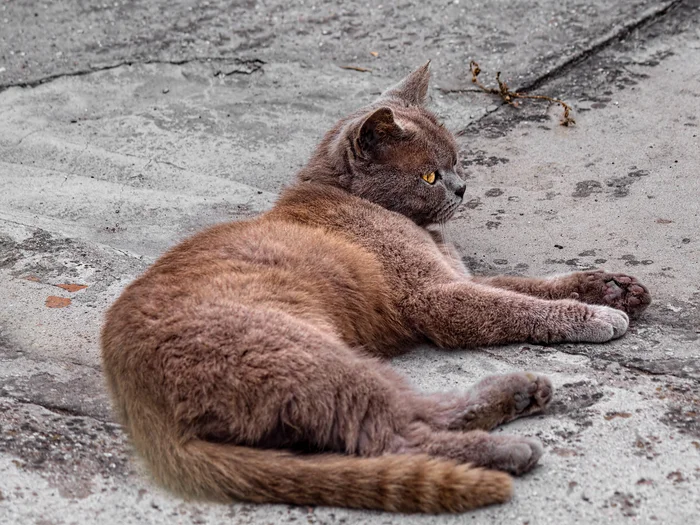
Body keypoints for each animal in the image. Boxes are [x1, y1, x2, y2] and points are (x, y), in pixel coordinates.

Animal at [101, 61, 652, 512]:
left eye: (456, 162)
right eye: (429, 175)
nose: (462, 188)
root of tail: (139, 407)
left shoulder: (456, 276)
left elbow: (526, 285)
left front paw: (612, 287)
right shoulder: (436, 296)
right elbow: (515, 306)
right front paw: (600, 316)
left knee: (413, 412)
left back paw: (518, 393)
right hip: (305, 354)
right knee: (393, 438)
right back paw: (504, 450)